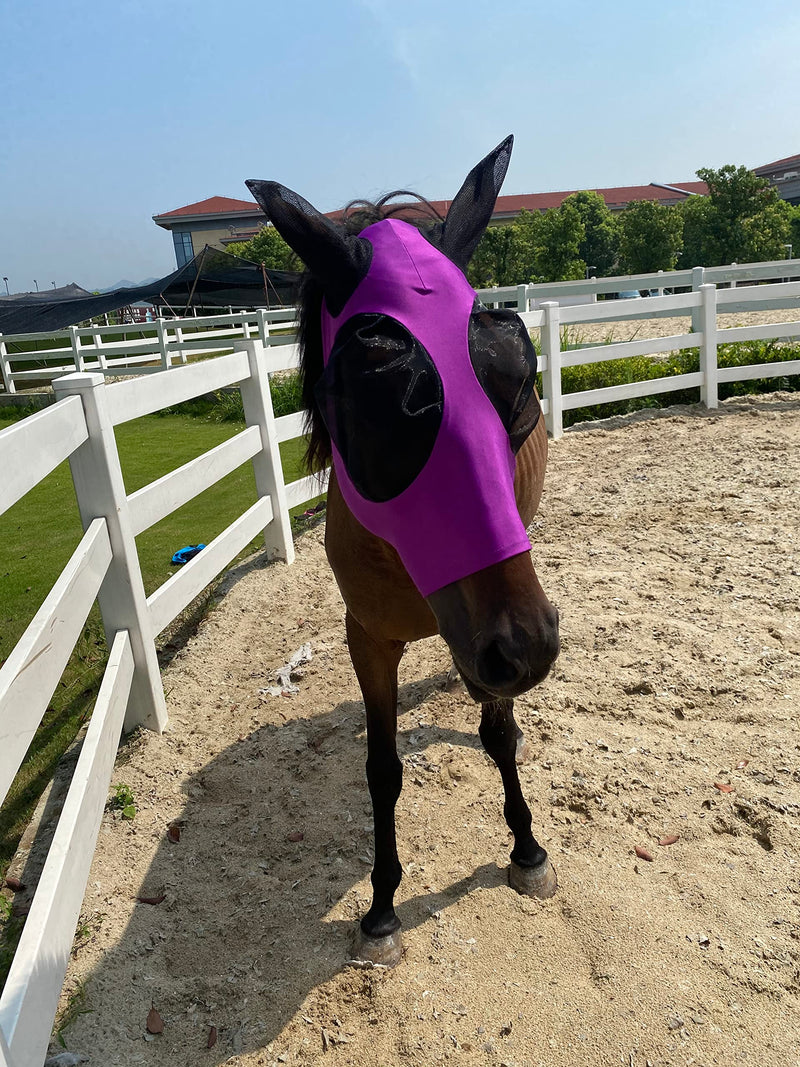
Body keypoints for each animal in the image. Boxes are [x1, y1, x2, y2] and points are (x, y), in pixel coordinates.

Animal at [246, 135, 560, 968]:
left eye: (514, 380)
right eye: (375, 399)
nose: (530, 647)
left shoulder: (495, 617)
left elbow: (498, 731)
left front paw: (526, 848)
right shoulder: (369, 639)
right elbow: (381, 768)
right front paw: (382, 907)